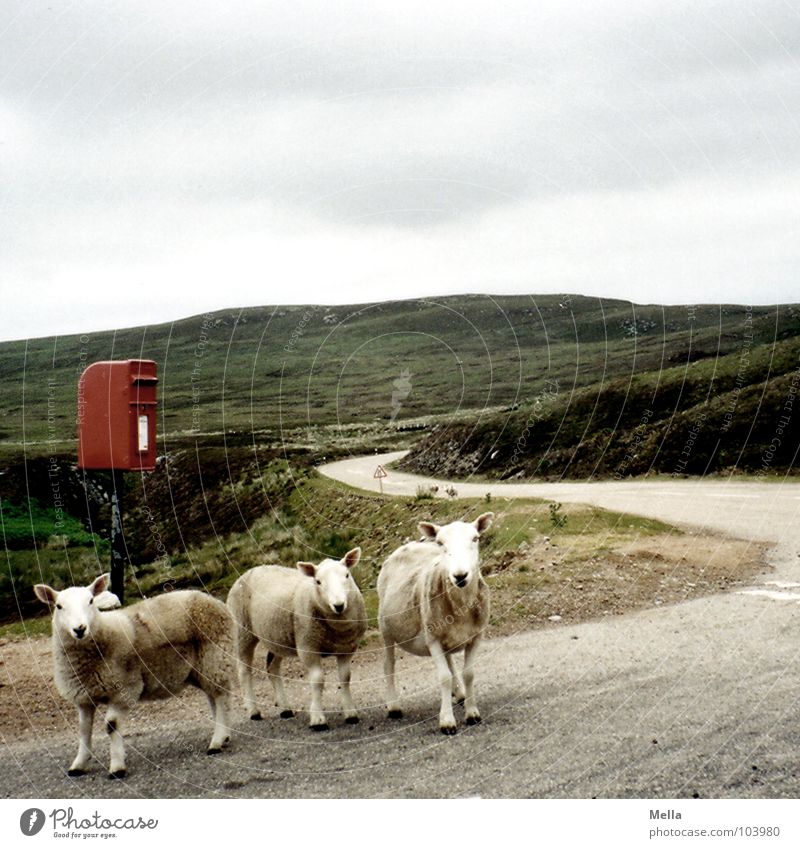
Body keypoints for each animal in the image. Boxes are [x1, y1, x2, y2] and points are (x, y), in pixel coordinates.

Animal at [34, 572, 234, 780]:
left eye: (91, 601)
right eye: (58, 606)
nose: (79, 629)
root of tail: (212, 600)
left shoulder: (125, 689)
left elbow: (111, 725)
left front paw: (117, 767)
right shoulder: (84, 698)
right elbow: (84, 729)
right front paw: (78, 764)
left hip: (215, 657)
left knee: (221, 696)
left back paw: (217, 740)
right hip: (201, 669)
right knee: (214, 697)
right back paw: (225, 735)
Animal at [228, 548, 366, 728]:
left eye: (347, 575)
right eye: (318, 581)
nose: (339, 605)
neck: (336, 625)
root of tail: (249, 570)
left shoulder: (346, 648)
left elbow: (345, 678)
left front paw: (350, 713)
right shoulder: (307, 646)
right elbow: (317, 680)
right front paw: (318, 719)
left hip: (277, 636)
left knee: (272, 668)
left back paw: (285, 709)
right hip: (242, 630)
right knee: (244, 671)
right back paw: (253, 711)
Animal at [376, 512, 494, 732]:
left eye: (476, 538)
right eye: (440, 543)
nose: (460, 576)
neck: (460, 605)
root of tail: (407, 545)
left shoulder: (476, 636)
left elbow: (469, 673)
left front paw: (472, 713)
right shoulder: (433, 638)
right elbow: (444, 677)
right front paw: (447, 721)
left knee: (450, 662)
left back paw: (460, 694)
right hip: (385, 628)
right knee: (389, 665)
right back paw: (393, 706)